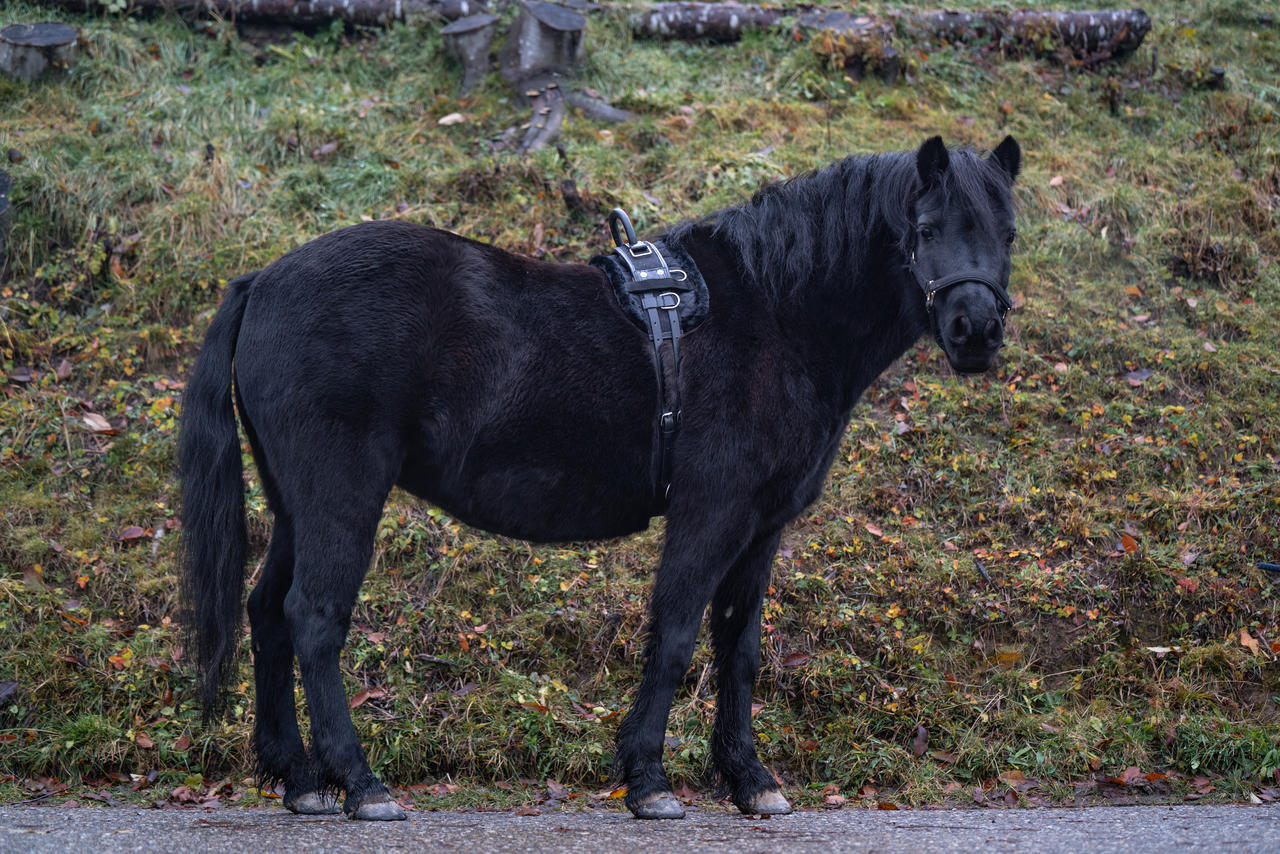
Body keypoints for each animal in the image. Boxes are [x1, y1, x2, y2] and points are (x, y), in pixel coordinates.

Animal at [180, 135, 1018, 819]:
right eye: (927, 229)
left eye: (1007, 231)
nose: (976, 332)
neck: (776, 311)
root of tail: (264, 279)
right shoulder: (710, 511)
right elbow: (676, 634)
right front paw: (647, 780)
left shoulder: (763, 526)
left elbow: (739, 646)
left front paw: (749, 780)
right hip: (341, 494)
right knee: (315, 619)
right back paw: (358, 783)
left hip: (295, 502)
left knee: (268, 613)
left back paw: (298, 779)